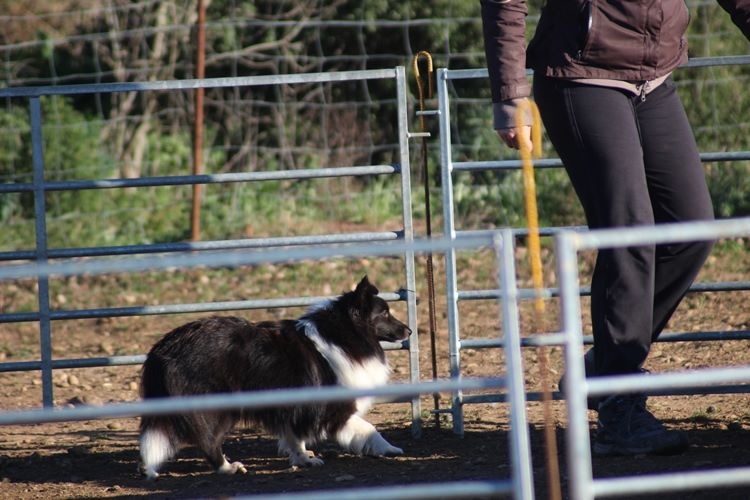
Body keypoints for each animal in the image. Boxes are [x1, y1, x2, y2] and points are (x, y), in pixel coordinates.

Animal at [138, 276, 414, 478]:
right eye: (384, 314)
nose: (409, 330)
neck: (344, 334)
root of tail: (163, 348)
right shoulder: (335, 409)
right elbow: (370, 429)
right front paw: (391, 449)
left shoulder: (295, 407)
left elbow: (295, 438)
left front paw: (304, 459)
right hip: (219, 407)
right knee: (209, 440)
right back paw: (227, 467)